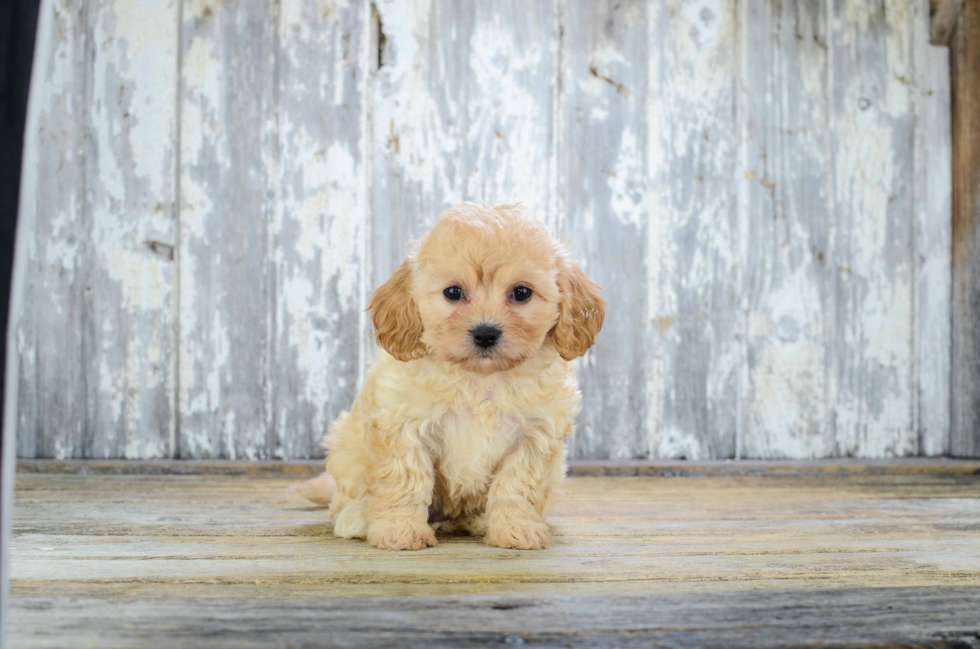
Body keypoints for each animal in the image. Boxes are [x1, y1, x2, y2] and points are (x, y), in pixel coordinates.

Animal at [322, 201, 600, 548]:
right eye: (453, 292)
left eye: (522, 292)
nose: (485, 333)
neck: (481, 379)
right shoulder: (402, 427)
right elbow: (403, 481)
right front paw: (401, 531)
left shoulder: (535, 437)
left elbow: (517, 486)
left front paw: (516, 529)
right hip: (346, 448)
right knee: (345, 496)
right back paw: (357, 516)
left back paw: (478, 520)